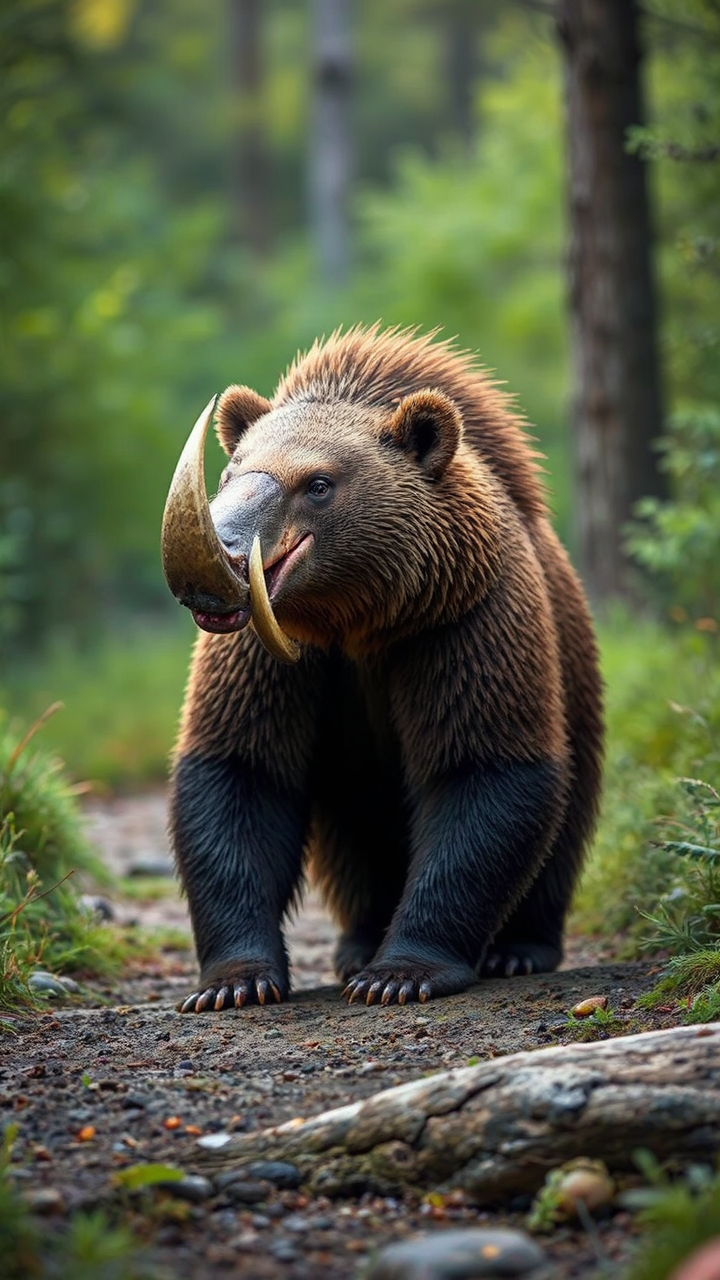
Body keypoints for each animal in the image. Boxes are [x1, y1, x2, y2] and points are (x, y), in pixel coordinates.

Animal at [160, 325, 604, 1012]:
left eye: (317, 483)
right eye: (232, 472)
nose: (221, 557)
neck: (361, 618)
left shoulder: (463, 624)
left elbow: (484, 772)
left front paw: (400, 973)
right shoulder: (275, 658)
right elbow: (240, 773)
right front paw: (234, 982)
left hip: (575, 681)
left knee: (564, 822)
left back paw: (516, 947)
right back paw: (357, 943)